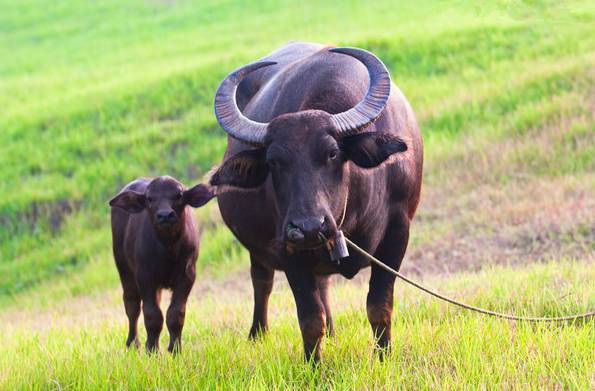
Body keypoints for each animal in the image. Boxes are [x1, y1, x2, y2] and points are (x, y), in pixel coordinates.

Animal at [109, 176, 214, 354]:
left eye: (179, 195)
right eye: (150, 198)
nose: (165, 215)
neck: (168, 249)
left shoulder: (187, 276)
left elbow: (176, 313)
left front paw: (175, 349)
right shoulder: (145, 277)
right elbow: (152, 315)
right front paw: (152, 350)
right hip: (123, 268)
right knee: (132, 305)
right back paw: (133, 344)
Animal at [210, 41, 424, 362]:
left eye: (332, 153)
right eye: (273, 163)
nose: (309, 226)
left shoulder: (397, 233)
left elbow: (379, 305)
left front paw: (384, 356)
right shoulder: (286, 246)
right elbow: (310, 319)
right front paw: (314, 365)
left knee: (322, 284)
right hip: (259, 249)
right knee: (262, 282)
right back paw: (257, 334)